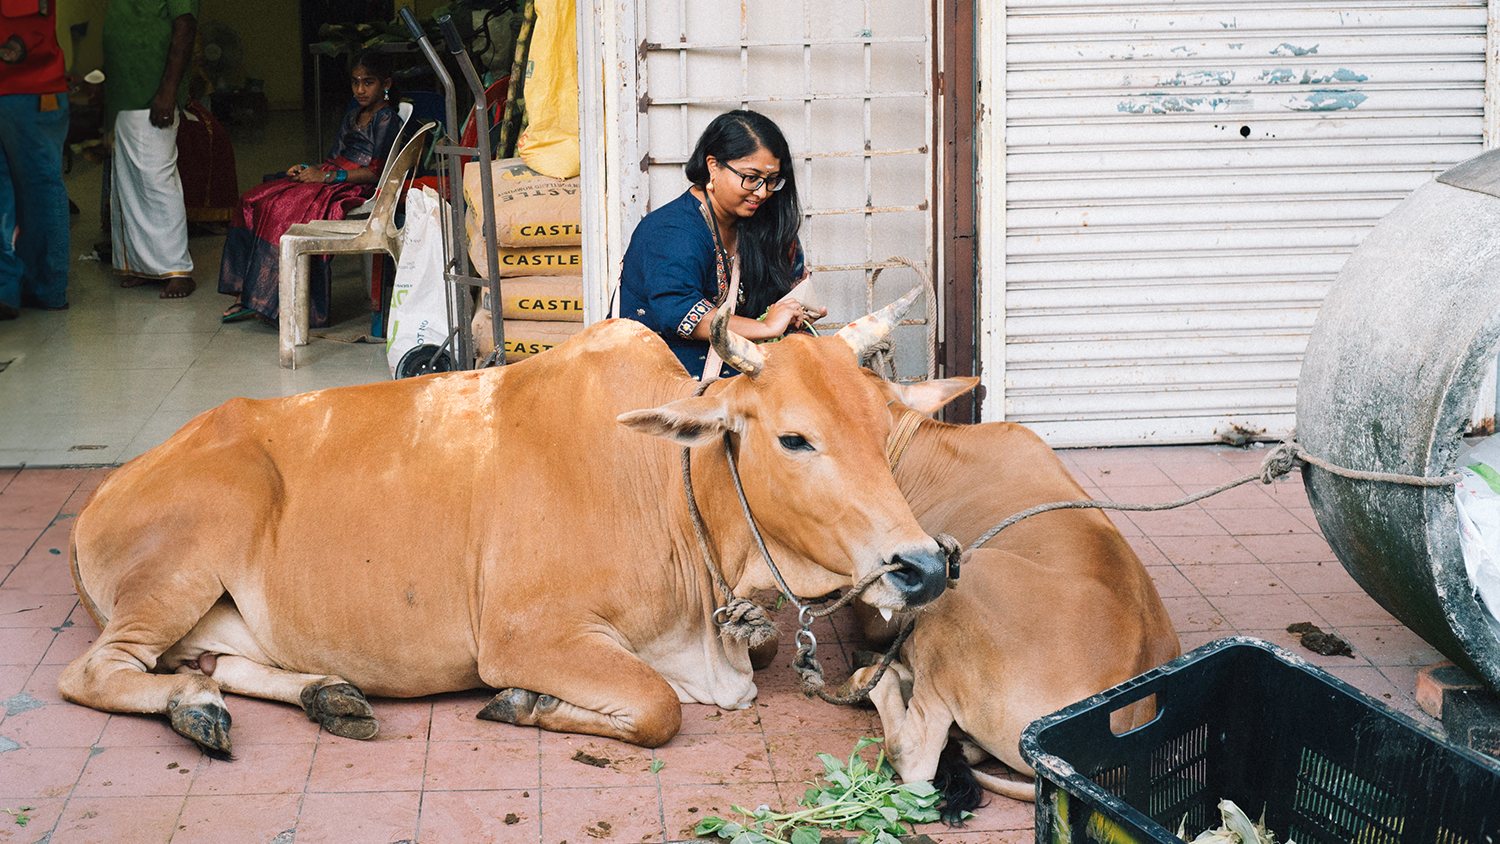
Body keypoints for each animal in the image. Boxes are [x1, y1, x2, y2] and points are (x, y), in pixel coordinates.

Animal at [64, 295, 948, 758]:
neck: (666, 491)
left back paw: (326, 693)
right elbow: (657, 707)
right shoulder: (527, 634)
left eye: (883, 425)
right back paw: (195, 707)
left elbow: (753, 646)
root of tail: (116, 483)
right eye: (794, 437)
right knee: (98, 672)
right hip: (176, 572)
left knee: (227, 661)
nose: (926, 567)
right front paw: (521, 703)